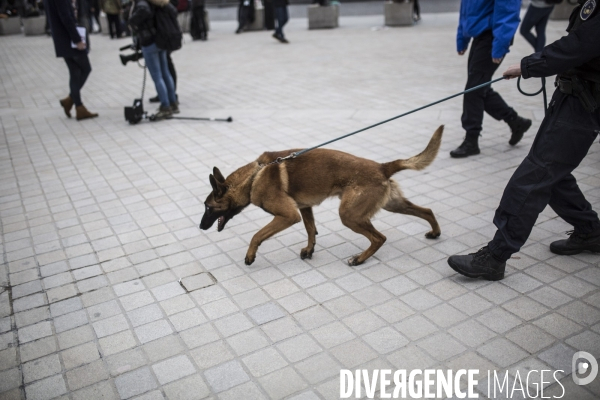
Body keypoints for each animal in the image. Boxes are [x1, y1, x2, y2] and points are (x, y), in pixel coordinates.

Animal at [199, 126, 442, 266]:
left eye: (208, 207)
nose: (200, 227)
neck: (253, 177)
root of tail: (382, 167)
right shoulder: (304, 208)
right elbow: (310, 230)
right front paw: (310, 249)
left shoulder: (288, 216)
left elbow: (257, 235)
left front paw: (250, 256)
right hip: (392, 204)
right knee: (427, 211)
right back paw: (435, 232)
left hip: (349, 215)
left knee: (379, 238)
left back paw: (359, 259)